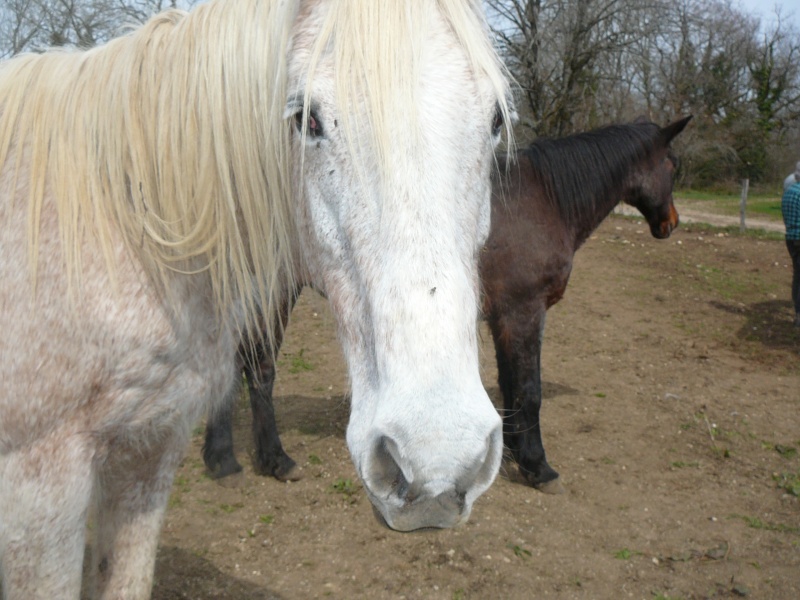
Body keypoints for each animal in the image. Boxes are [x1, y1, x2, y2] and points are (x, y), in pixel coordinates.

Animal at [0, 2, 512, 596]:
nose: (436, 457)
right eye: (308, 119)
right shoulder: (40, 490)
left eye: (496, 119)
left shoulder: (148, 453)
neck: (119, 233)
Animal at [203, 116, 692, 488]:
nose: (670, 223)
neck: (544, 199)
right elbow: (529, 390)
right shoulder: (524, 312)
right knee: (257, 366)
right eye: (673, 164)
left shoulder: (502, 318)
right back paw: (268, 459)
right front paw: (537, 466)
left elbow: (510, 387)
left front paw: (511, 453)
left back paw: (224, 458)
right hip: (271, 293)